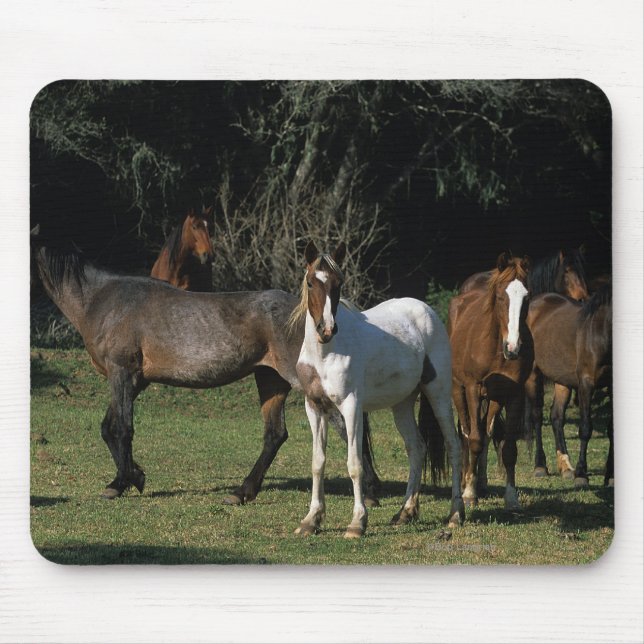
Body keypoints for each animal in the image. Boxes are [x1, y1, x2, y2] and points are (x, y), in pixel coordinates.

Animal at [30, 230, 381, 505]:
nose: (327, 327)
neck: (102, 300)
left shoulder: (122, 373)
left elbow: (121, 428)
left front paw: (123, 482)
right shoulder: (134, 380)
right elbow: (109, 428)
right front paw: (131, 477)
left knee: (341, 423)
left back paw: (371, 493)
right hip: (271, 380)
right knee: (275, 434)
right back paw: (242, 492)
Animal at [291, 241, 464, 538]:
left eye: (338, 283)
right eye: (311, 282)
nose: (327, 329)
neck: (325, 353)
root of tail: (427, 311)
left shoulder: (351, 407)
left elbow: (355, 464)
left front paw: (357, 523)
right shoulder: (314, 407)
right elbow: (317, 463)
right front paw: (311, 520)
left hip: (438, 394)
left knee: (453, 446)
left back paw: (455, 515)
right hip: (402, 404)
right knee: (417, 448)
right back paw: (405, 512)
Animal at [448, 252, 533, 509]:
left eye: (527, 296)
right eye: (500, 296)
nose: (513, 347)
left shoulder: (514, 394)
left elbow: (509, 448)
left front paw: (512, 498)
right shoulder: (473, 389)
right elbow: (474, 439)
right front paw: (468, 493)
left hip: (494, 399)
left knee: (487, 432)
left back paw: (480, 482)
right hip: (459, 390)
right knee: (466, 433)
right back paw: (467, 482)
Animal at [525, 284, 612, 486]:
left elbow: (612, 429)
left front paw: (610, 477)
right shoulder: (586, 384)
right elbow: (586, 428)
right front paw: (581, 474)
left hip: (562, 380)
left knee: (556, 417)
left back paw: (566, 467)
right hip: (533, 375)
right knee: (537, 417)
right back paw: (540, 466)